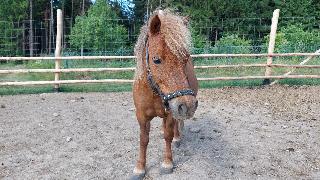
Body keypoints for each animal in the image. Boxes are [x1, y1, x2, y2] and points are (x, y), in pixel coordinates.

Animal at [131, 9, 196, 179]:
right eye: (156, 59)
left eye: (185, 58)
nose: (187, 105)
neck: (154, 92)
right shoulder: (141, 116)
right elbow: (143, 139)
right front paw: (140, 167)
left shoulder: (171, 113)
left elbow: (168, 135)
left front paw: (167, 163)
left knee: (177, 126)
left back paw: (177, 139)